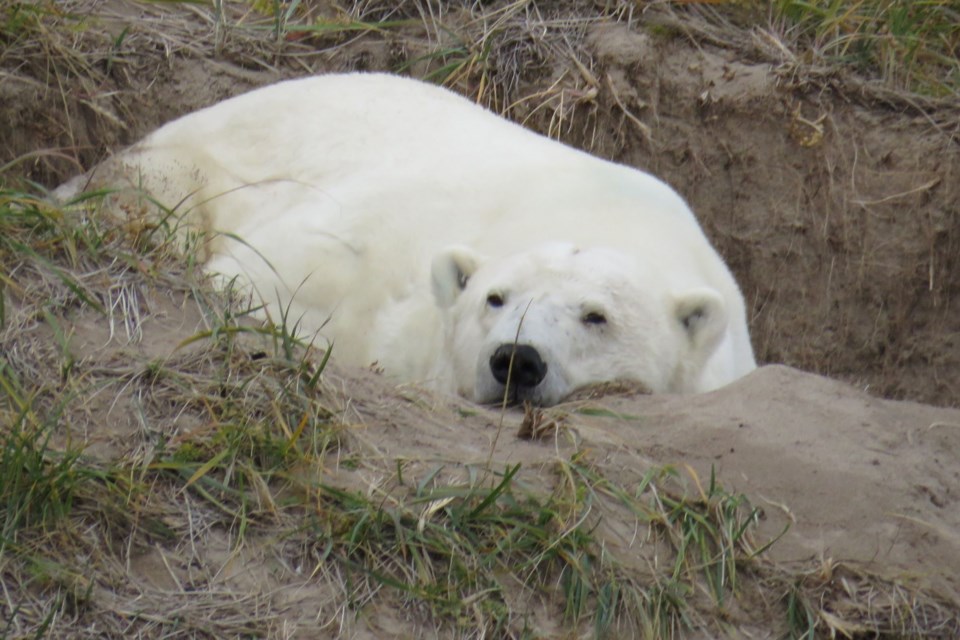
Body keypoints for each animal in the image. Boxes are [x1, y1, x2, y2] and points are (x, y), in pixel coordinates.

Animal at [58, 72, 756, 408]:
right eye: (496, 298)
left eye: (597, 316)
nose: (517, 360)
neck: (607, 217)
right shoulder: (393, 228)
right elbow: (287, 269)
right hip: (185, 159)